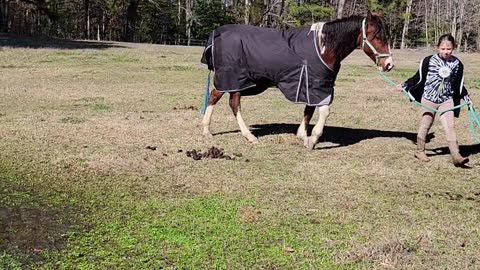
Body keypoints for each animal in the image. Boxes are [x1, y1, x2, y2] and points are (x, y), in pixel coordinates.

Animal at [200, 10, 394, 149]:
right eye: (377, 36)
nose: (389, 64)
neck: (323, 46)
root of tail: (217, 33)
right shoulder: (317, 84)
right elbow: (324, 111)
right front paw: (313, 139)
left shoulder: (312, 83)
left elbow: (309, 110)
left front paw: (302, 135)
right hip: (232, 78)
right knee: (225, 101)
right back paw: (237, 135)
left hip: (237, 82)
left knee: (223, 100)